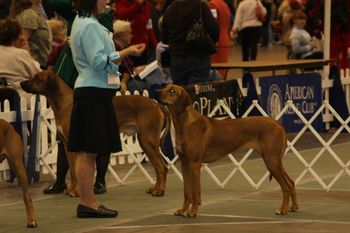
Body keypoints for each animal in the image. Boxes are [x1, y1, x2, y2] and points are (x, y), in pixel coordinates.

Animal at [19, 69, 170, 197]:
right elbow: (72, 171)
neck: (65, 104)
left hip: (147, 140)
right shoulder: (68, 145)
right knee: (159, 167)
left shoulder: (76, 144)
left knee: (162, 167)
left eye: (37, 78)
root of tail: (156, 104)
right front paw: (72, 190)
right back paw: (155, 188)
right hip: (146, 141)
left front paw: (77, 191)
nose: (21, 83)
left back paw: (160, 191)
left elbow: (76, 171)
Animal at [158, 84, 298, 218]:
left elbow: (195, 193)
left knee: (286, 186)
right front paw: (183, 210)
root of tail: (277, 123)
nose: (156, 92)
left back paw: (283, 209)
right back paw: (293, 207)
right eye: (164, 87)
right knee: (291, 183)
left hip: (271, 161)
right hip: (275, 161)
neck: (184, 124)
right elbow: (187, 193)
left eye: (172, 91)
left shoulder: (194, 164)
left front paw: (192, 212)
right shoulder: (184, 164)